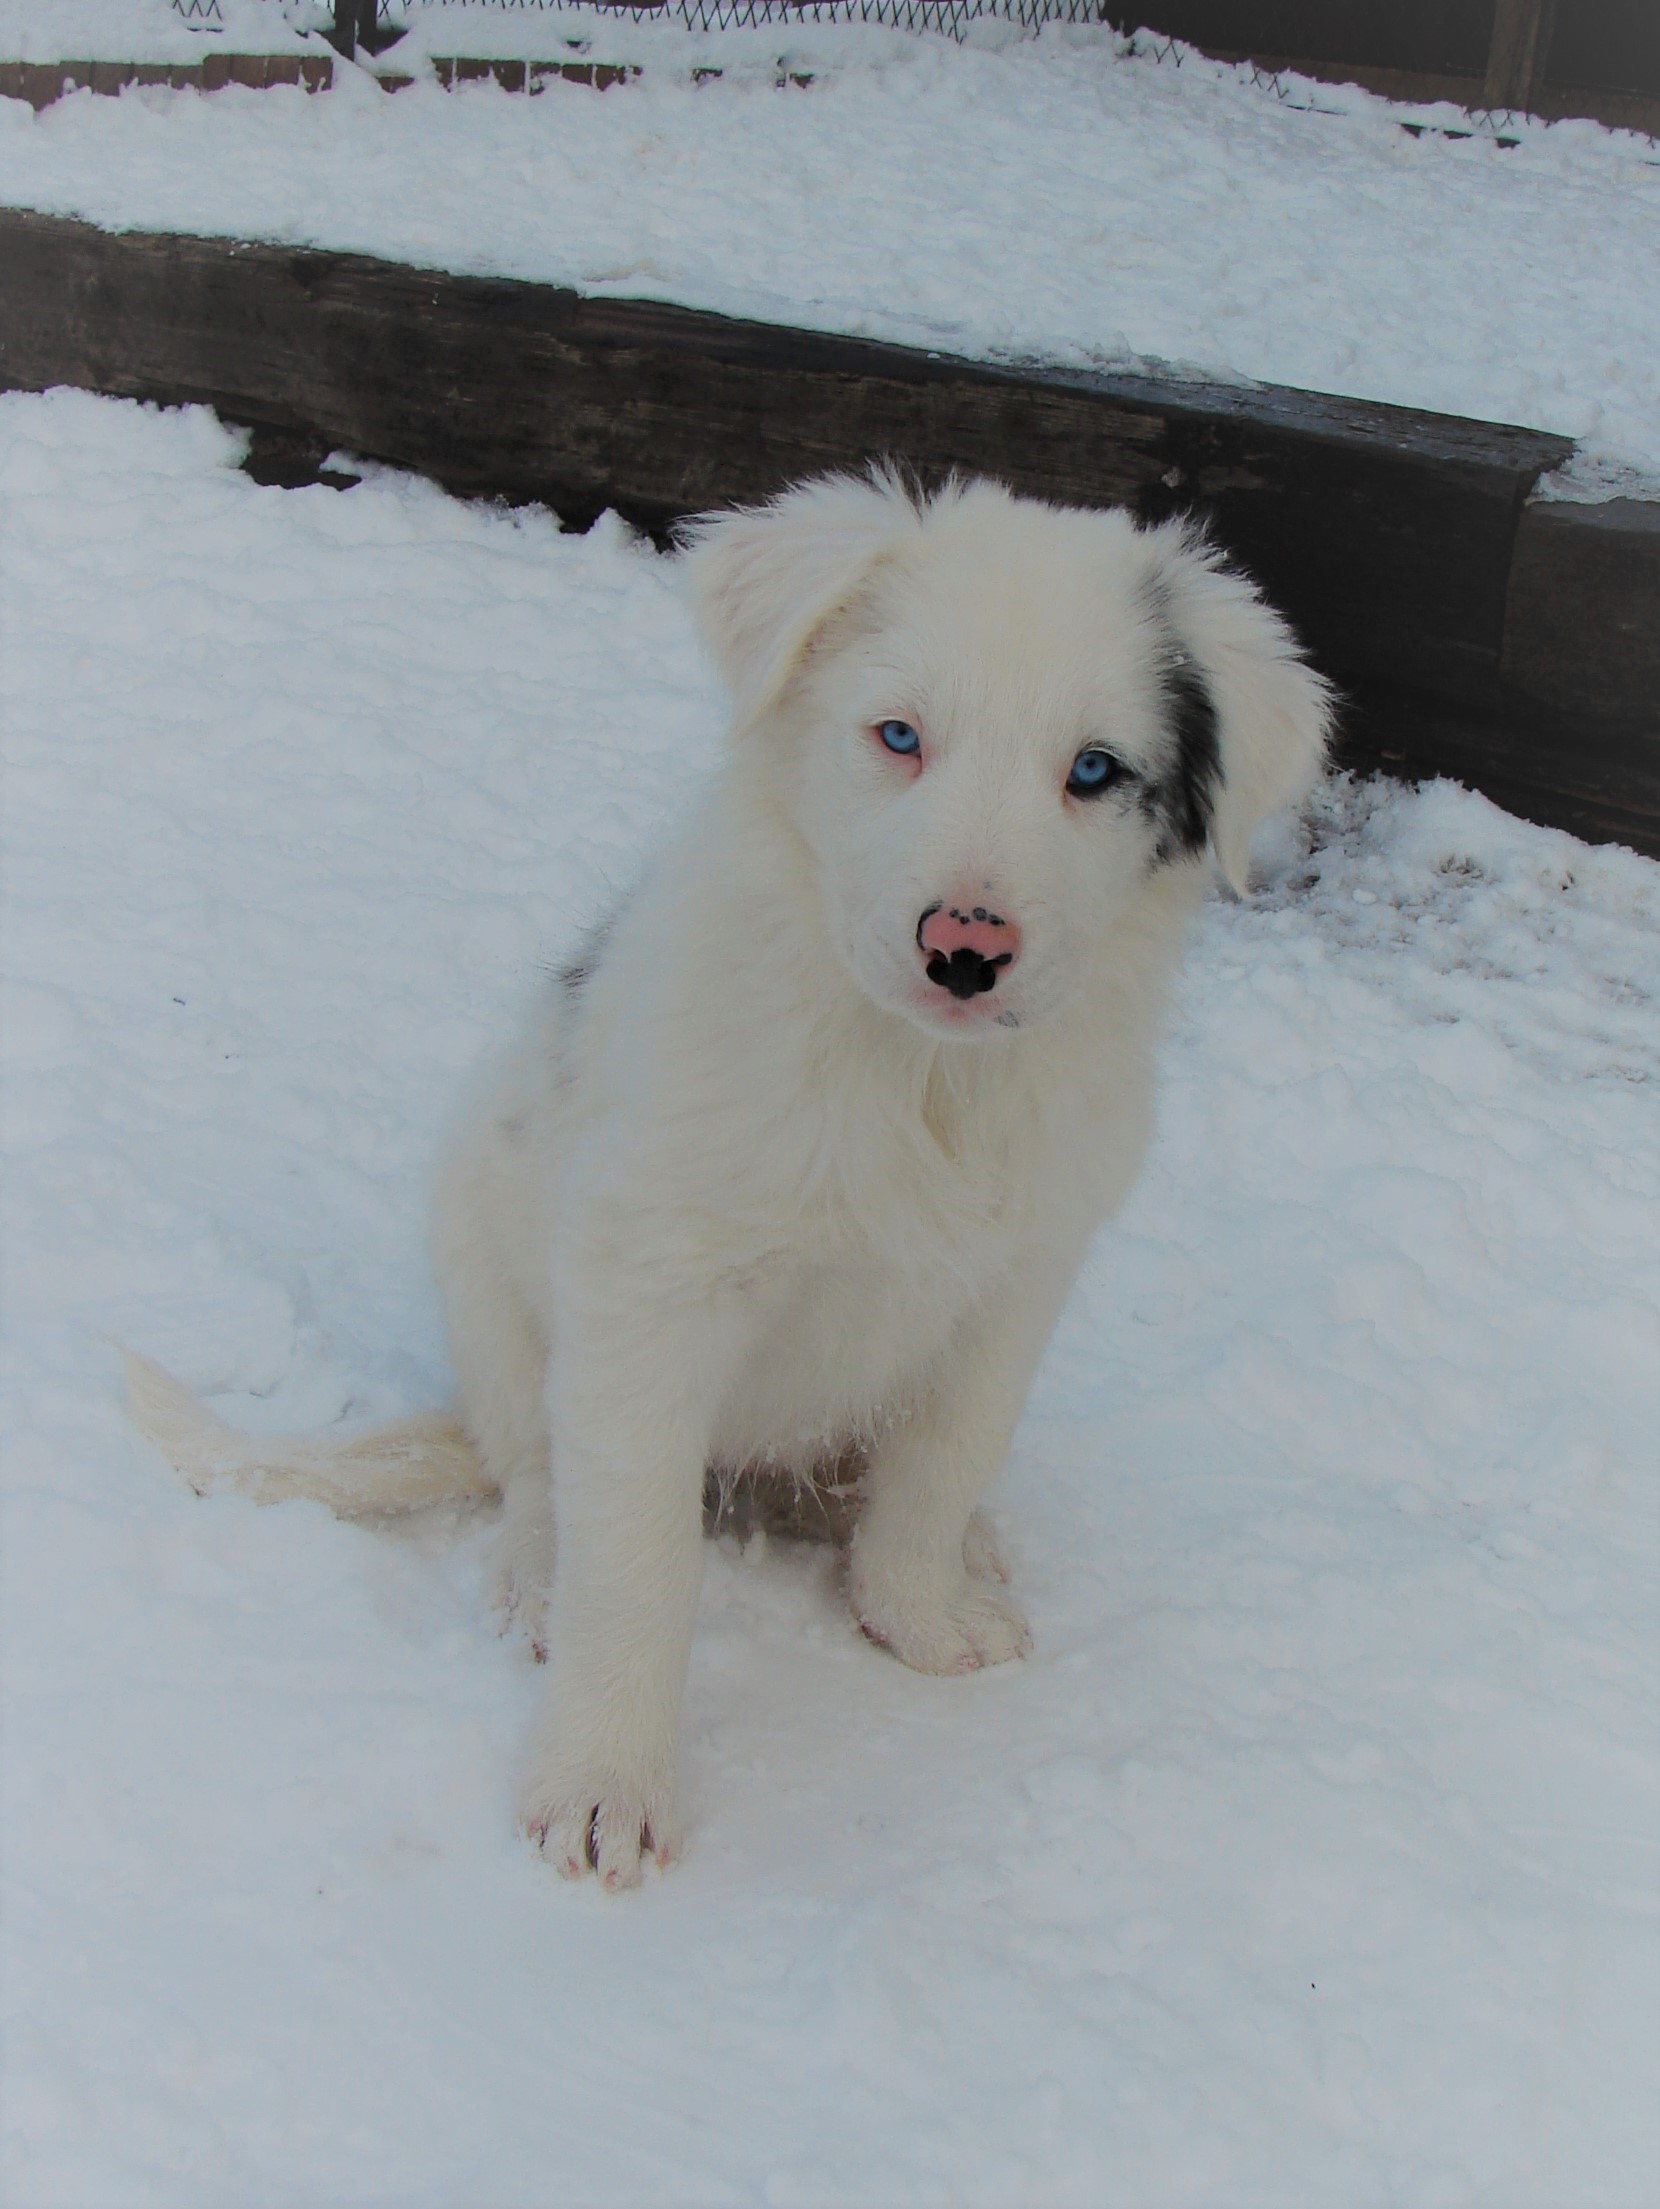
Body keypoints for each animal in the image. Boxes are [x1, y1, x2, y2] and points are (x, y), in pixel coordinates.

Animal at [123, 466, 1335, 1882]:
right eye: (897, 735)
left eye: (1093, 770)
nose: (963, 949)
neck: (915, 1078)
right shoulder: (651, 1286)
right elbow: (639, 1558)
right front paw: (602, 1783)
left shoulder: (1020, 1276)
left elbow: (944, 1456)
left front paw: (917, 1611)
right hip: (488, 1276)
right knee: (535, 1469)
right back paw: (539, 1575)